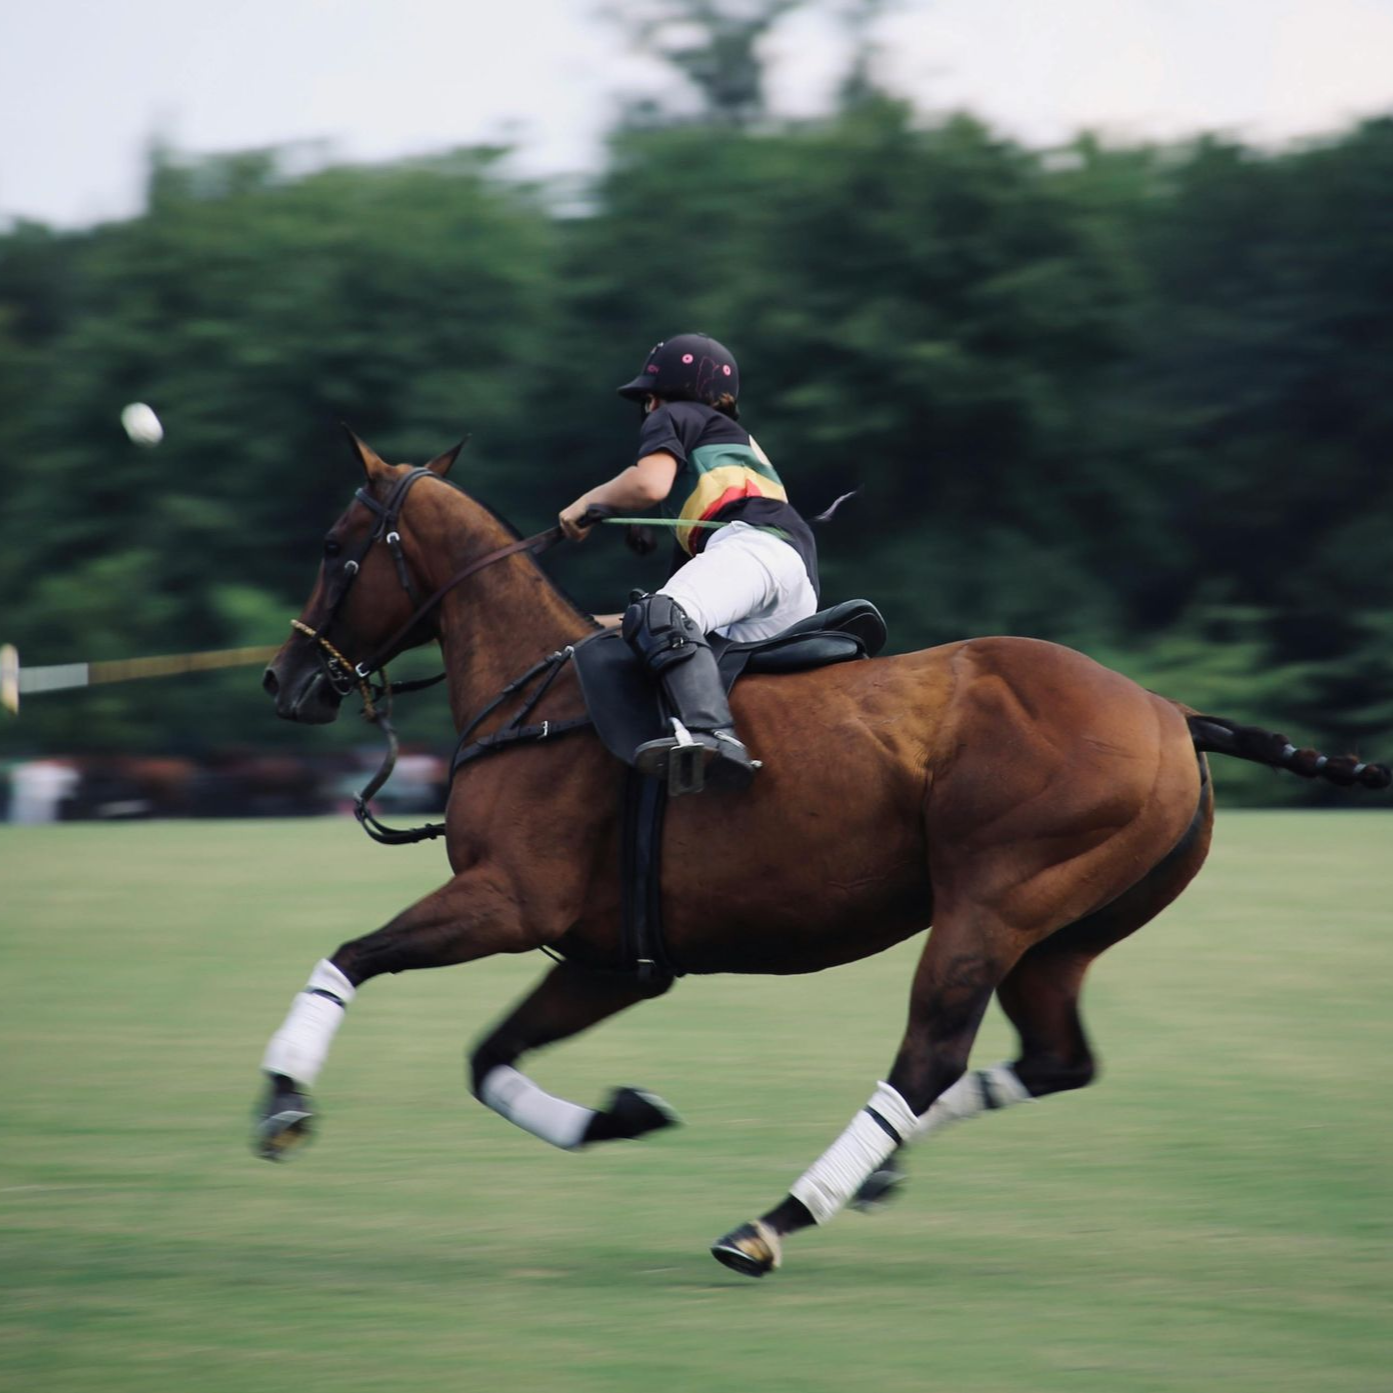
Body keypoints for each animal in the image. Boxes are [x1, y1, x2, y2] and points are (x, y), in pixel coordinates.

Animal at [257, 435, 1388, 1278]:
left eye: (335, 544)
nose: (285, 680)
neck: (535, 694)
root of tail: (1170, 711)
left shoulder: (509, 899)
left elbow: (351, 955)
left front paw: (281, 1102)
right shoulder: (609, 956)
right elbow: (489, 1057)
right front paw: (621, 1115)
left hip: (992, 901)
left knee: (928, 1057)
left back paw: (774, 1219)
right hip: (1063, 931)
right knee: (1053, 1059)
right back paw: (874, 1175)